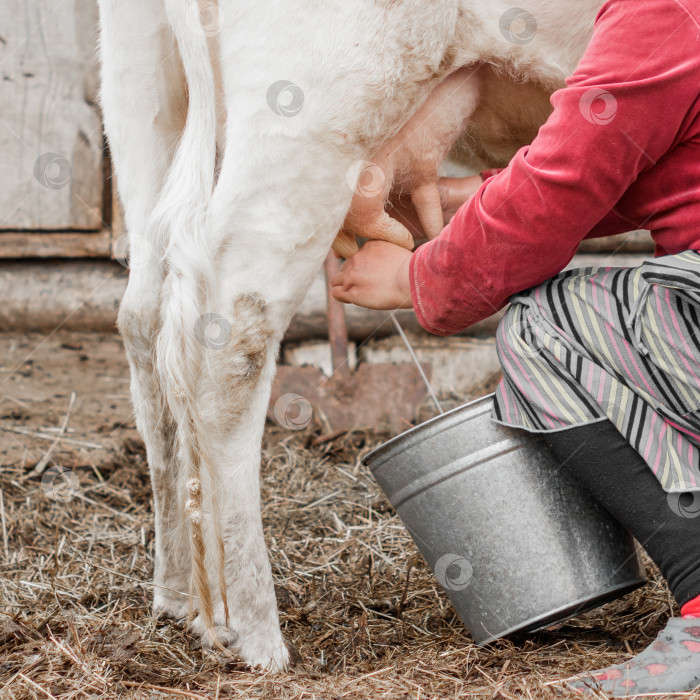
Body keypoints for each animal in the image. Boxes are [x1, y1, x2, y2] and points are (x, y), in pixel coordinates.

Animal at [97, 0, 600, 668]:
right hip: (311, 118)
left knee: (147, 323)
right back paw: (256, 635)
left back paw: (180, 595)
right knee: (235, 331)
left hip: (142, 97)